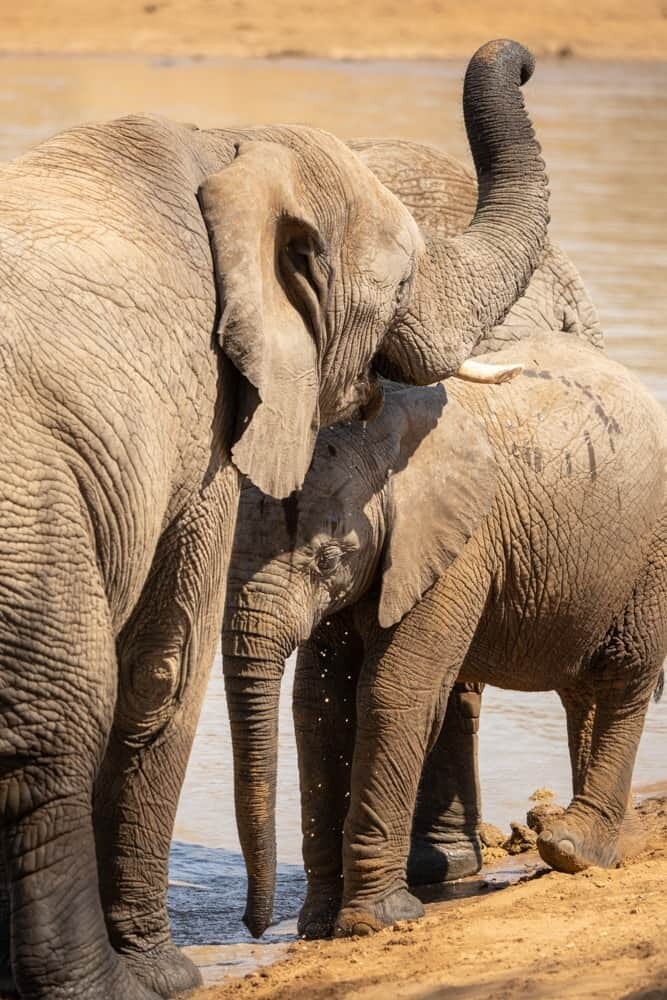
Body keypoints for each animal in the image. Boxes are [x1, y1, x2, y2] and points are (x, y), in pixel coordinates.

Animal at [0, 39, 552, 1000]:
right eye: (401, 281)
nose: (522, 60)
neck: (225, 146)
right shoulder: (199, 407)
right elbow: (162, 672)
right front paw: (166, 976)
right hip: (33, 510)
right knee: (59, 720)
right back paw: (99, 984)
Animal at [226, 334, 667, 936]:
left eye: (328, 560)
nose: (255, 928)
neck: (382, 441)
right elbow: (319, 704)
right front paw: (318, 924)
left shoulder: (460, 548)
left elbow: (393, 692)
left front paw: (373, 923)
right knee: (583, 691)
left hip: (649, 554)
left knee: (622, 677)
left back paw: (574, 850)